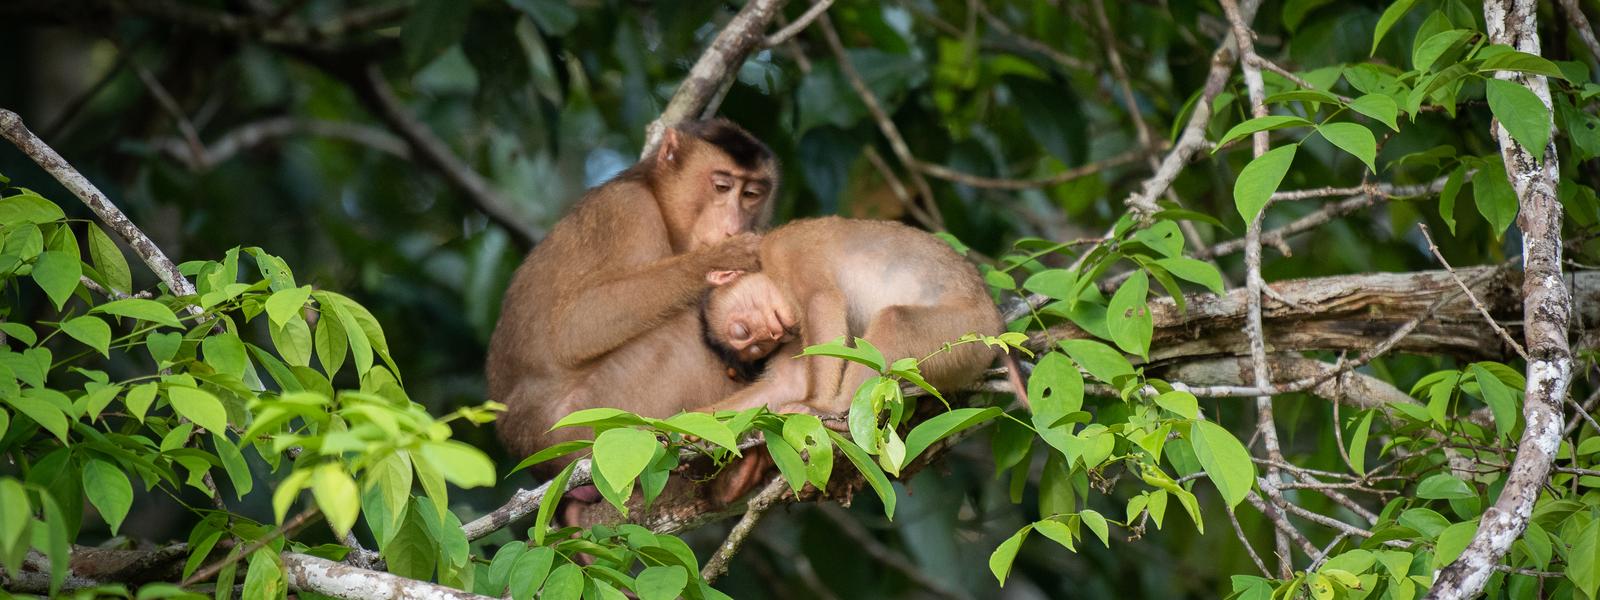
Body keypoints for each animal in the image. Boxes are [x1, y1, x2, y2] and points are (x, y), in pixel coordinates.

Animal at [487, 118, 785, 476]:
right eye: (722, 187)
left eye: (752, 194)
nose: (733, 226)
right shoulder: (629, 211)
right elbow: (574, 326)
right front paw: (723, 257)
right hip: (592, 419)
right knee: (683, 330)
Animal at [695, 217, 1004, 416]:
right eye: (760, 346)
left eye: (743, 332)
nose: (773, 334)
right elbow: (783, 385)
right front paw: (684, 427)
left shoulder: (784, 250)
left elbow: (822, 300)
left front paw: (817, 403)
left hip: (968, 334)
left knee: (895, 321)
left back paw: (839, 407)